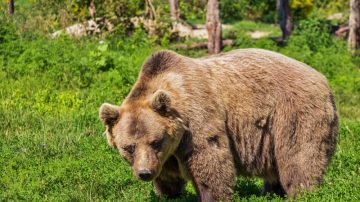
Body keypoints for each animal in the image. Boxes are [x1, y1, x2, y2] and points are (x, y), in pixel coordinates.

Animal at [98, 48, 338, 200]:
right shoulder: (167, 152)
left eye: (155, 141)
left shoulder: (196, 119)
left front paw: (211, 194)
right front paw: (168, 193)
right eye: (128, 147)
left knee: (299, 158)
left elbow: (210, 160)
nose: (145, 173)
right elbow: (167, 175)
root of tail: (324, 79)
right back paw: (271, 191)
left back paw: (302, 192)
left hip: (293, 113)